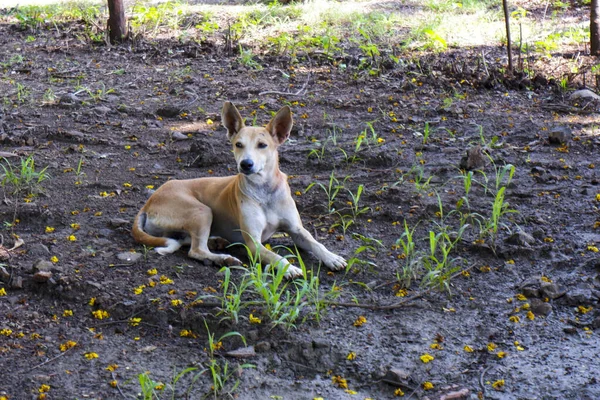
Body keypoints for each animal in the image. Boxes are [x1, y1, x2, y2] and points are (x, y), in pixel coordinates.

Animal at [132, 101, 346, 278]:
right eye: (238, 145)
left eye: (262, 145)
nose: (246, 164)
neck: (263, 191)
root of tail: (148, 203)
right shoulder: (254, 243)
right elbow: (276, 256)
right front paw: (289, 268)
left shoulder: (297, 230)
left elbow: (316, 243)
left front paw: (332, 257)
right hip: (201, 210)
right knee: (196, 250)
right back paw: (223, 258)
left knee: (188, 241)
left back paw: (216, 243)